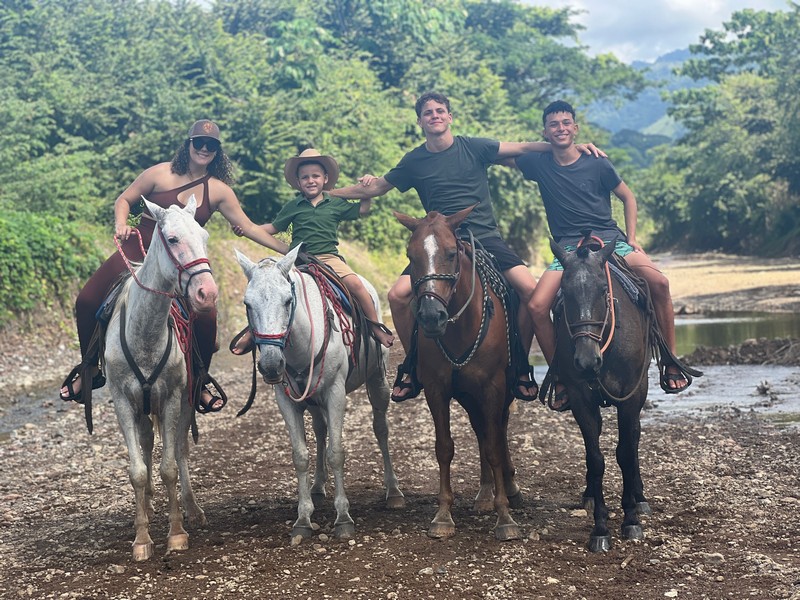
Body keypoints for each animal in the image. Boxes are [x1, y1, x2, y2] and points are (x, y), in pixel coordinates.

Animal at [103, 197, 217, 564]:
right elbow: (138, 470)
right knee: (146, 444)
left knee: (179, 449)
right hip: (142, 408)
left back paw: (191, 509)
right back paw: (150, 506)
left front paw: (177, 533)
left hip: (185, 403)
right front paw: (141, 539)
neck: (145, 333)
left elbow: (169, 466)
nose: (207, 293)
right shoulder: (124, 403)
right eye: (172, 238)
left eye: (204, 236)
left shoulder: (171, 399)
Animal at [234, 244, 404, 540]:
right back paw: (317, 487)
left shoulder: (336, 393)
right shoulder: (287, 400)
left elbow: (336, 452)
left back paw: (393, 490)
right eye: (247, 304)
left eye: (287, 301)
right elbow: (300, 456)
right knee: (320, 430)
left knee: (381, 429)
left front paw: (343, 518)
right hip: (313, 400)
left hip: (377, 381)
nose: (270, 365)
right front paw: (303, 519)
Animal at [396, 209, 524, 540]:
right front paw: (443, 515)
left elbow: (494, 447)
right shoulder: (437, 389)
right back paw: (484, 494)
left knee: (498, 430)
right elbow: (444, 448)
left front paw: (505, 517)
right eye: (411, 256)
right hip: (468, 395)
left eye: (451, 253)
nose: (431, 316)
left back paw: (508, 487)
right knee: (481, 430)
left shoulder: (493, 386)